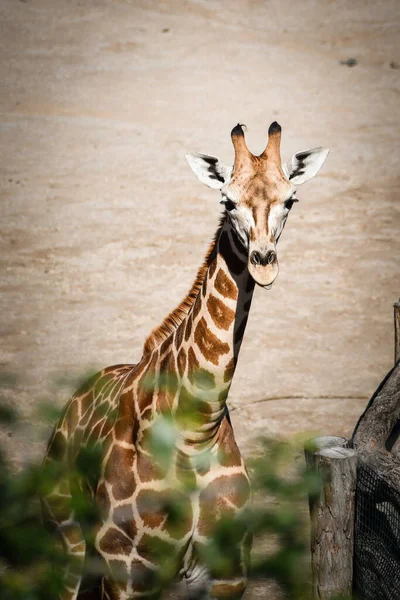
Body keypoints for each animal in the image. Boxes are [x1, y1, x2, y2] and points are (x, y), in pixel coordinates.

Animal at [43, 119, 328, 596]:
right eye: (227, 201)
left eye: (291, 198)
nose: (263, 262)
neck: (195, 432)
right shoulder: (125, 574)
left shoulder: (229, 575)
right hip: (67, 540)